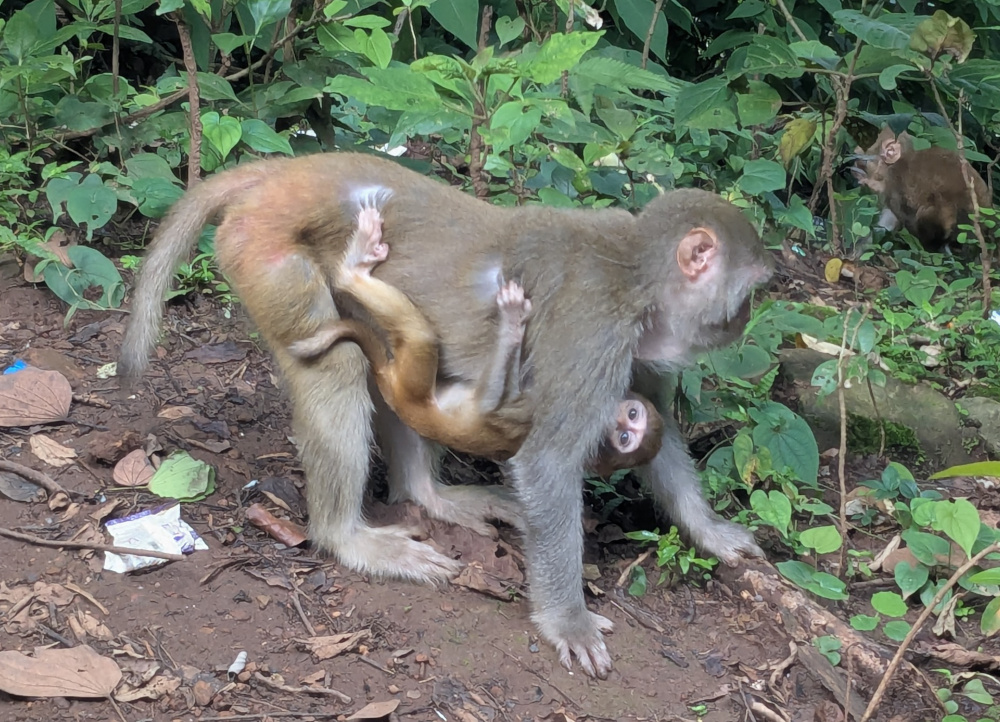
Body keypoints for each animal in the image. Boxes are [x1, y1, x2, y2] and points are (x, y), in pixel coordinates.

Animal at [287, 203, 664, 474]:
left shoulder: (541, 414)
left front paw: (511, 324)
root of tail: (390, 383)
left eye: (625, 436)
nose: (620, 420)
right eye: (632, 415)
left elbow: (488, 405)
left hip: (411, 383)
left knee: (422, 338)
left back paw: (350, 273)